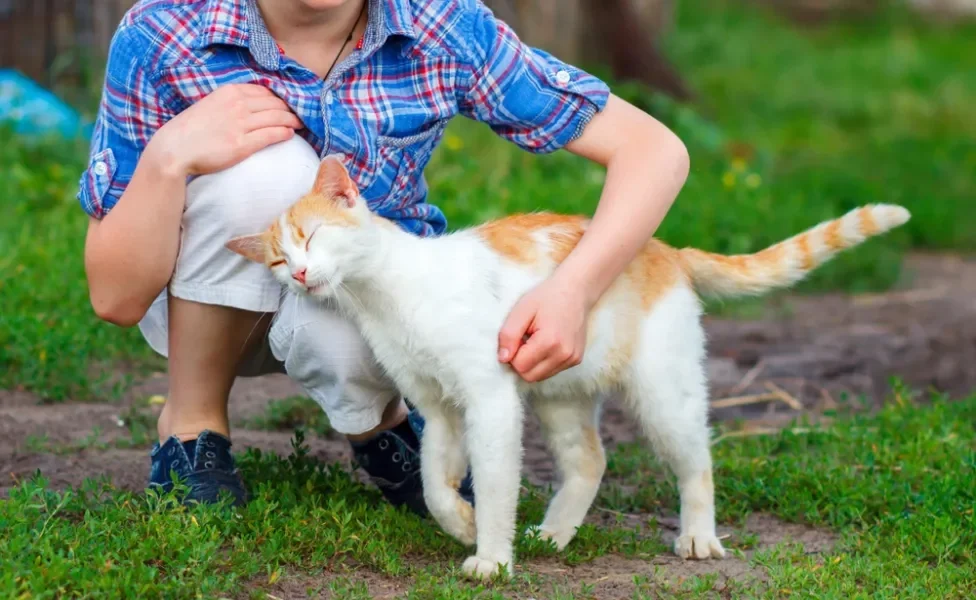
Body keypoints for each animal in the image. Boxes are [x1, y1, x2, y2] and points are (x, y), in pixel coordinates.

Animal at [225, 155, 912, 580]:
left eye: (312, 237)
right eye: (279, 262)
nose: (302, 275)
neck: (385, 298)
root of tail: (666, 249)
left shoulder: (490, 400)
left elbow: (495, 483)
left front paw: (492, 558)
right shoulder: (441, 408)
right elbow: (434, 483)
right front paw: (462, 525)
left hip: (665, 395)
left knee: (697, 462)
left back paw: (698, 538)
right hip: (559, 395)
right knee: (590, 461)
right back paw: (553, 534)